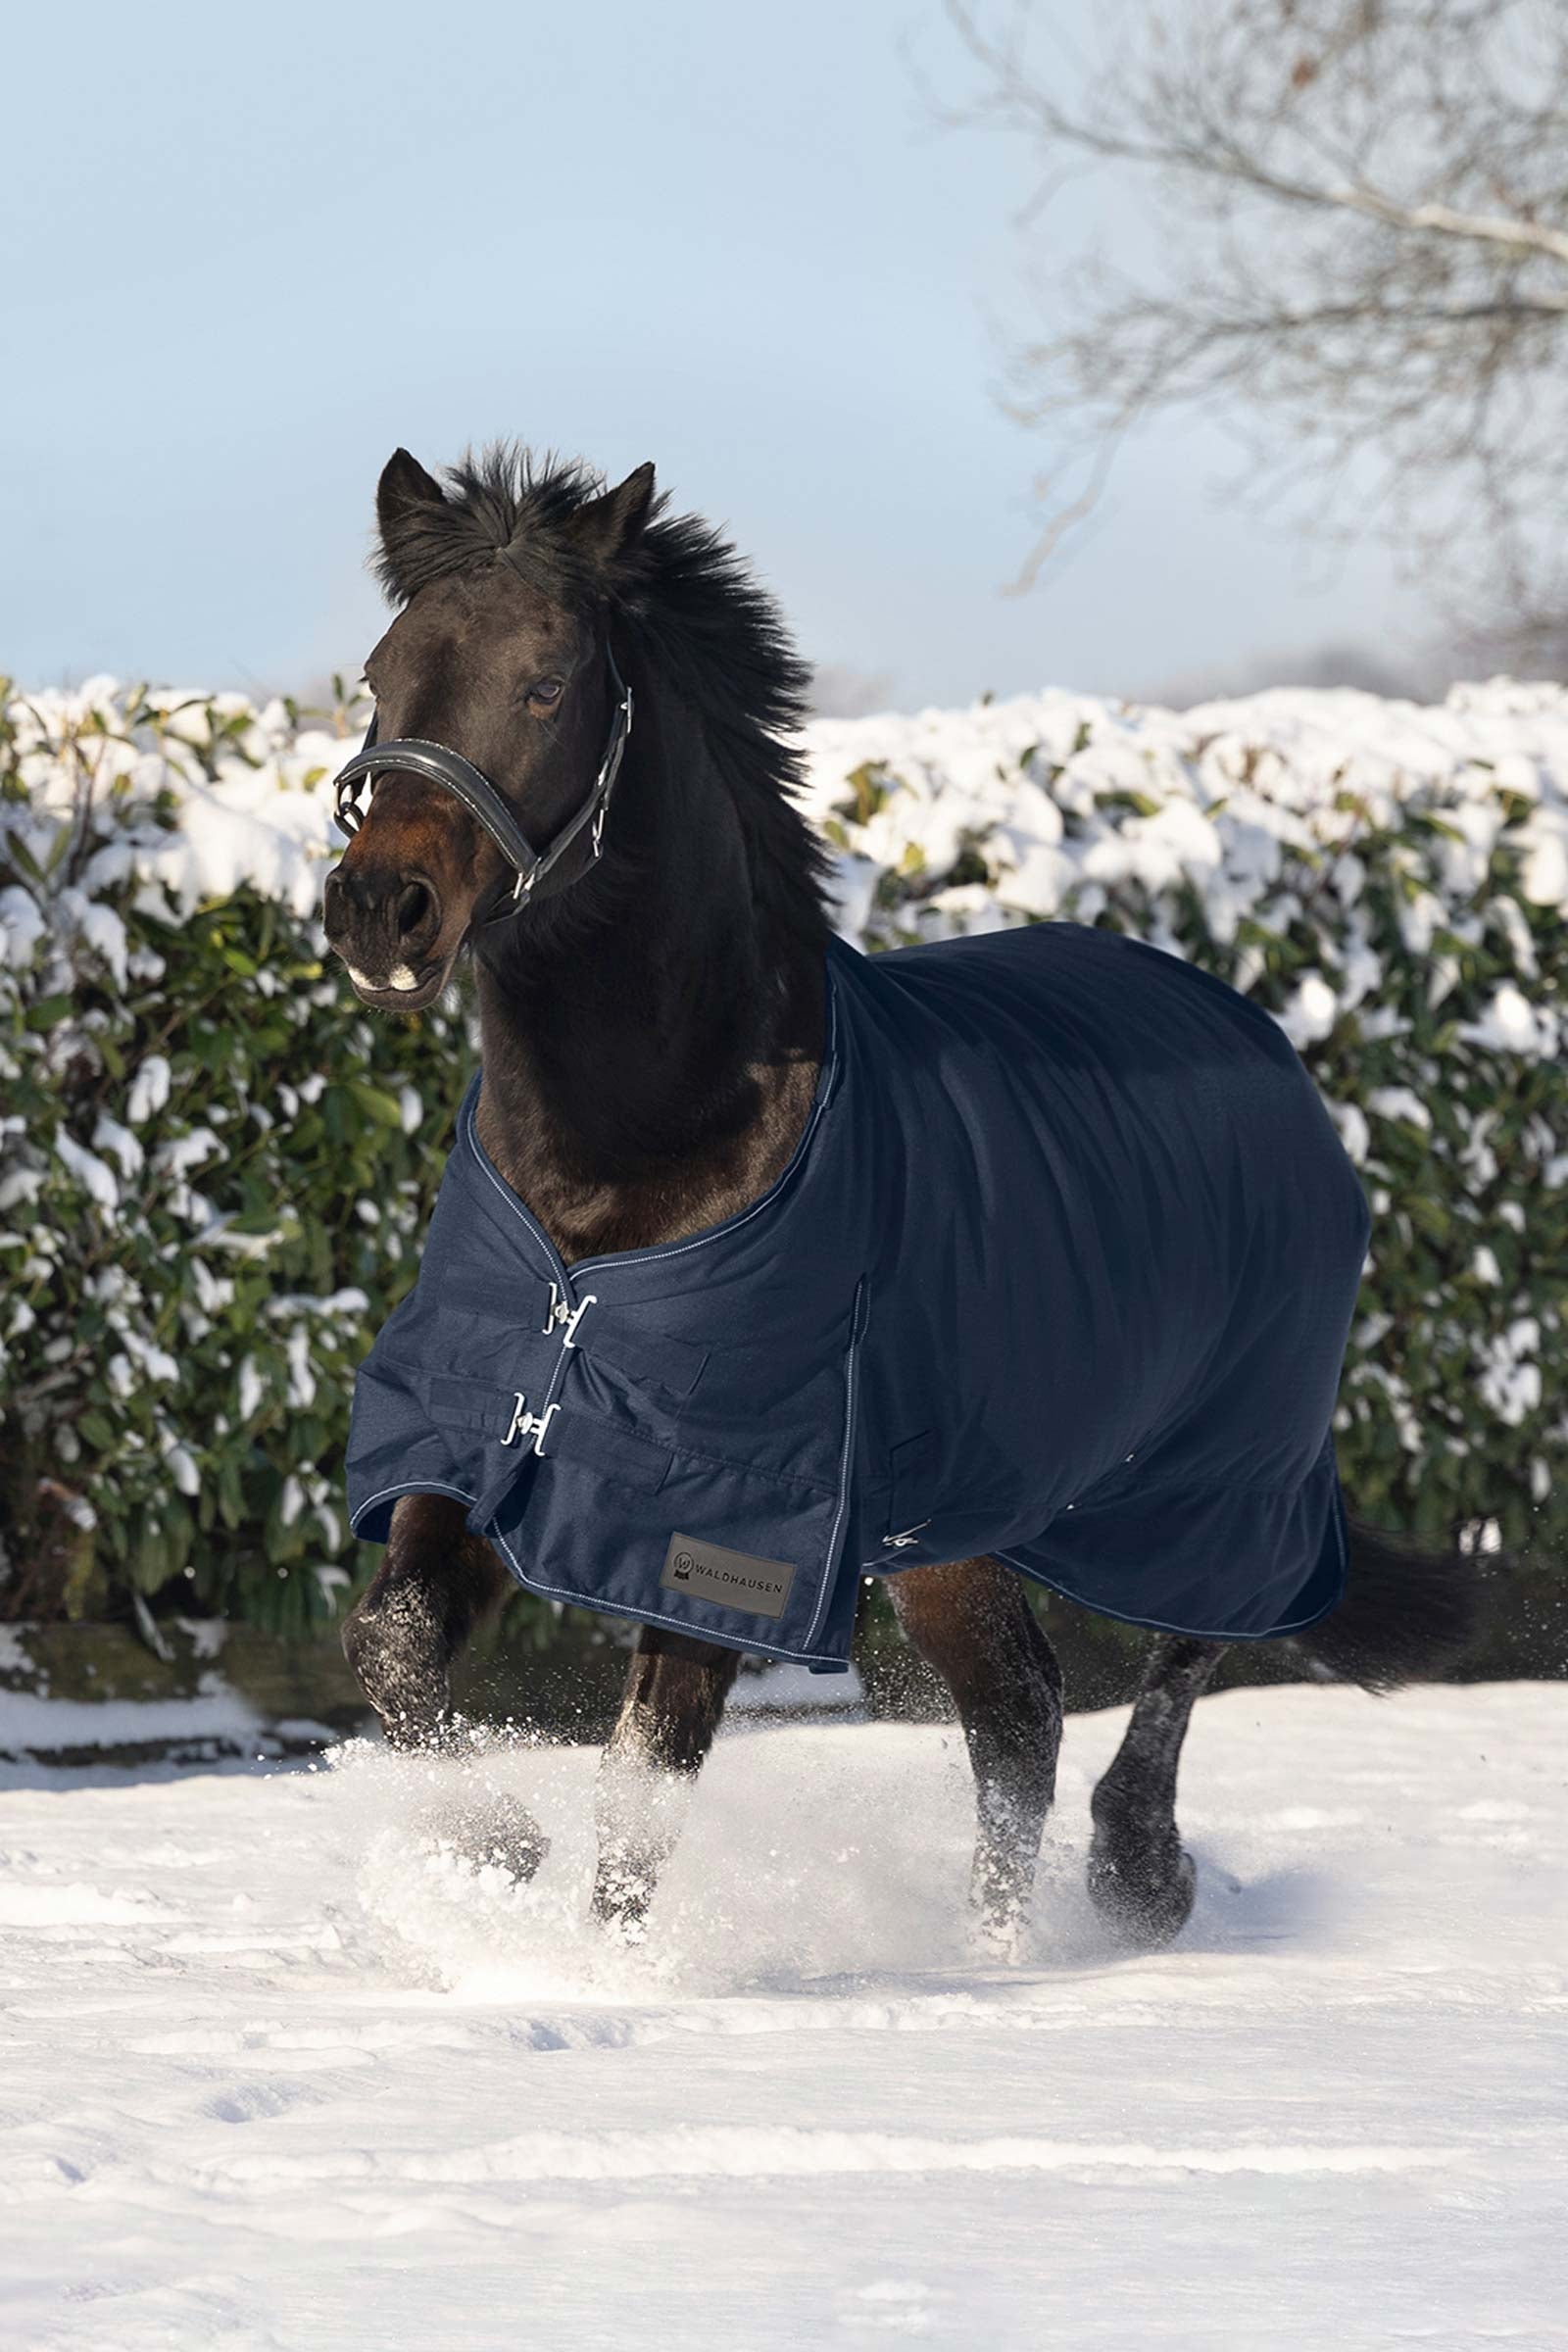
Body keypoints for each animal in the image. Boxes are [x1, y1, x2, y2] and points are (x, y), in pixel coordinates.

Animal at [322, 443, 1475, 1950]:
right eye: (382, 672)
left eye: (549, 682)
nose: (378, 910)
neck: (629, 1172)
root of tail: (1267, 1046)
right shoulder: (478, 1436)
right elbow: (394, 1648)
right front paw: (492, 1851)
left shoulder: (728, 1518)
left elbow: (645, 1774)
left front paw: (595, 1967)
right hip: (957, 1521)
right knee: (1018, 1709)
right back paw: (997, 1949)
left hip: (1223, 1475)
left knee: (1178, 1656)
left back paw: (1133, 1884)